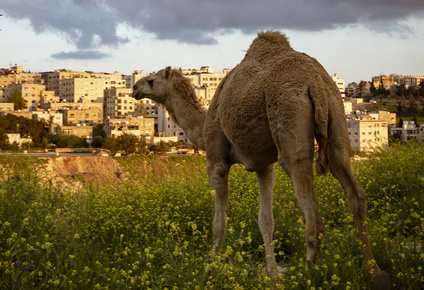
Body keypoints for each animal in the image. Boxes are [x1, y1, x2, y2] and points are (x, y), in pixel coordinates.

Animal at [132, 30, 390, 288]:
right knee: (354, 190)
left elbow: (219, 221)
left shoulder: (216, 161)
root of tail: (315, 81)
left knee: (311, 211)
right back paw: (374, 271)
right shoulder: (264, 166)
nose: (134, 87)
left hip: (289, 121)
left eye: (151, 80)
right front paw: (272, 273)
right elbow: (266, 220)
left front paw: (211, 264)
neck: (202, 126)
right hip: (336, 115)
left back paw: (307, 275)